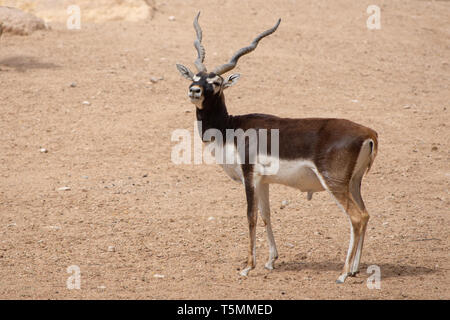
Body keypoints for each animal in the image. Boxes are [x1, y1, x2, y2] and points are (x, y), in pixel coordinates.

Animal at [174, 13, 378, 282]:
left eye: (216, 82)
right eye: (195, 78)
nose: (194, 91)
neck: (231, 128)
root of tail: (368, 133)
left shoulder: (249, 176)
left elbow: (250, 216)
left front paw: (248, 266)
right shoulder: (264, 181)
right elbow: (265, 215)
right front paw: (271, 260)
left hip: (334, 183)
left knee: (357, 217)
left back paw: (343, 274)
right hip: (354, 183)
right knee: (365, 214)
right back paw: (354, 269)